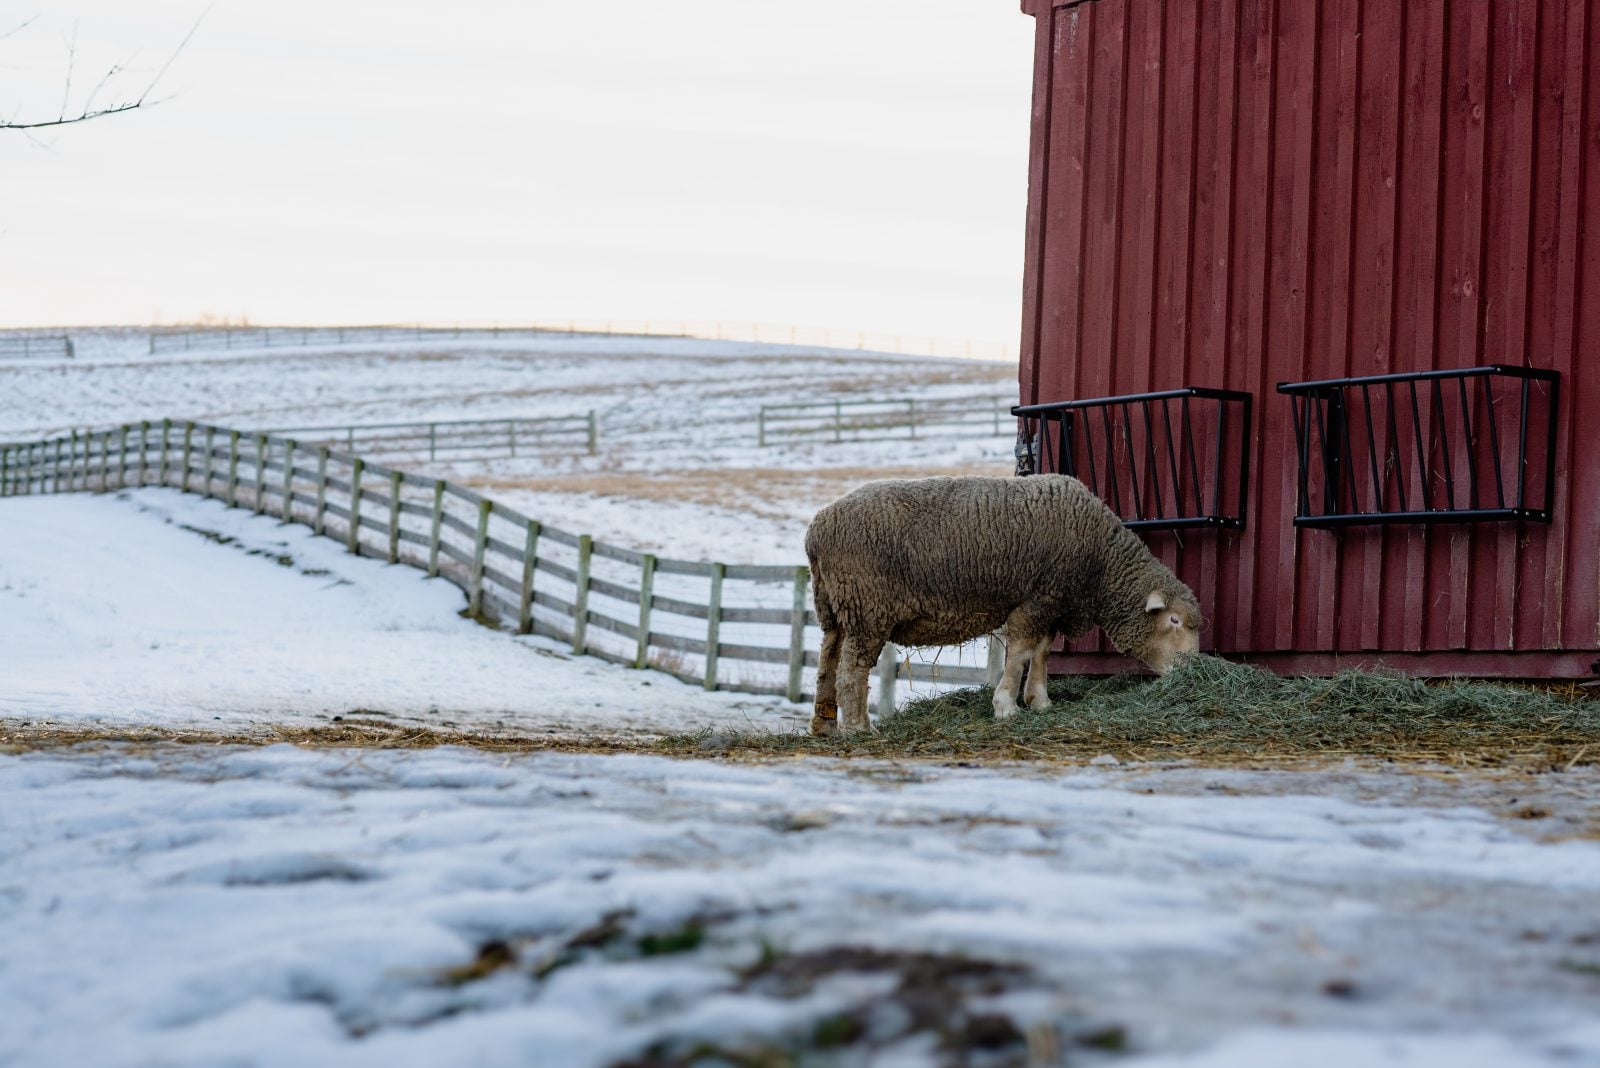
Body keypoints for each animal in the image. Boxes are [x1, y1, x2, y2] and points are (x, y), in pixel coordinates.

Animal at [805, 474, 1202, 735]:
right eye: (1174, 621)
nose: (1194, 670)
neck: (1101, 564)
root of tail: (816, 530)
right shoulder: (1034, 600)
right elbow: (1020, 654)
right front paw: (1006, 706)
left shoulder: (1051, 603)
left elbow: (1041, 654)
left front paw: (1039, 701)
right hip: (866, 607)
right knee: (852, 670)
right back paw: (858, 728)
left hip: (834, 607)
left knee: (828, 660)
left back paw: (824, 725)